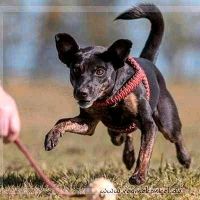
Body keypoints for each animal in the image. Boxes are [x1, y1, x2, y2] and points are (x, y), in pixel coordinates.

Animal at [44, 3, 191, 184]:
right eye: (75, 70)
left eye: (100, 71)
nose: (81, 93)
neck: (109, 98)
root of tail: (148, 61)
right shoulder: (87, 122)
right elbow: (62, 121)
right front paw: (52, 136)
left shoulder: (149, 124)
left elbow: (145, 151)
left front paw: (139, 175)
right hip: (116, 131)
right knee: (123, 134)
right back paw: (128, 155)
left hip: (166, 121)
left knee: (176, 136)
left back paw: (185, 158)